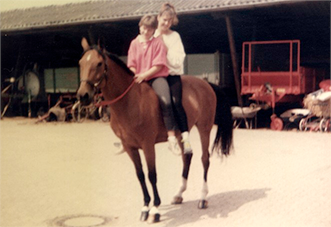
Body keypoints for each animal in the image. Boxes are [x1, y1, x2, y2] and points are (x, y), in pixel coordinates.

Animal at [77, 37, 233, 223]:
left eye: (99, 63)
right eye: (80, 63)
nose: (83, 96)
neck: (130, 101)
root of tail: (206, 84)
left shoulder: (147, 145)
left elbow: (152, 175)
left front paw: (155, 209)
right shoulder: (130, 147)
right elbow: (140, 175)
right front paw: (145, 207)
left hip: (204, 128)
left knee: (204, 159)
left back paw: (203, 198)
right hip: (181, 132)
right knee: (187, 157)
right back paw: (179, 194)